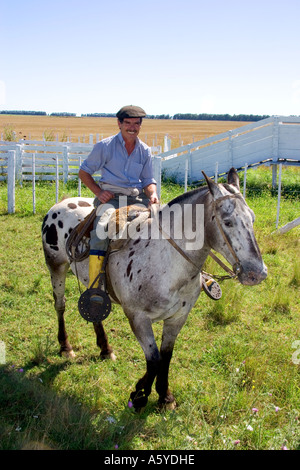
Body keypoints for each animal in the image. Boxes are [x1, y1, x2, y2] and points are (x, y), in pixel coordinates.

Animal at [41, 170, 268, 412]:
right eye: (227, 221)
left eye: (252, 218)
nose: (257, 272)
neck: (165, 260)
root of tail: (62, 203)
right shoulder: (138, 318)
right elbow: (154, 358)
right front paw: (140, 394)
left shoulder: (178, 318)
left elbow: (165, 356)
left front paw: (164, 396)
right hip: (56, 266)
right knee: (60, 305)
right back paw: (65, 346)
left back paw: (105, 348)